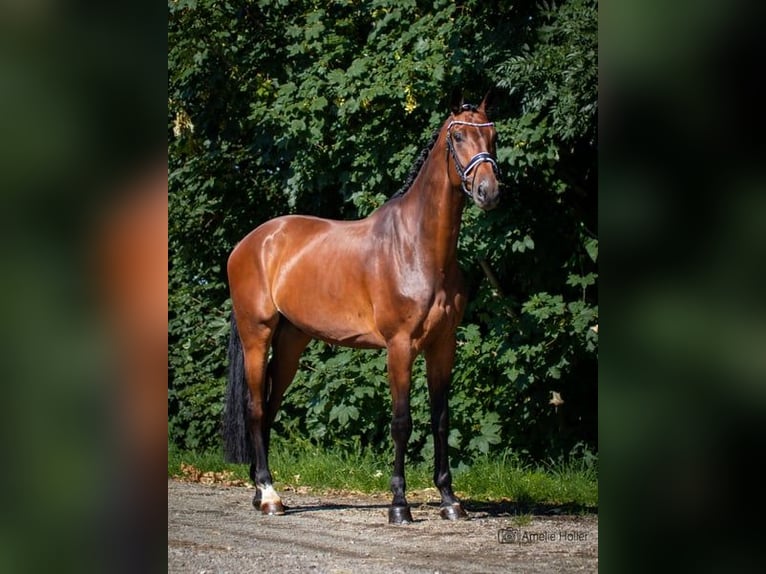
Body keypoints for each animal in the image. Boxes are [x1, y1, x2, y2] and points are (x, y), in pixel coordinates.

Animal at [222, 91, 504, 528]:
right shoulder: (400, 347)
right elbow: (402, 423)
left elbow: (441, 420)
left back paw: (258, 490)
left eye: (492, 135)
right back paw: (269, 495)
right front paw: (399, 506)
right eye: (457, 137)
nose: (489, 191)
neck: (418, 247)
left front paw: (450, 501)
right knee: (255, 408)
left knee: (269, 406)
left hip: (290, 343)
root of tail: (250, 243)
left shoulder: (443, 346)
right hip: (258, 336)